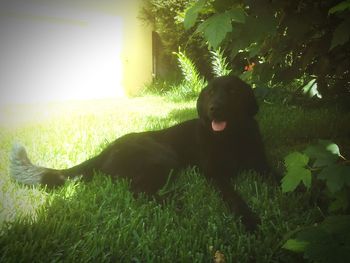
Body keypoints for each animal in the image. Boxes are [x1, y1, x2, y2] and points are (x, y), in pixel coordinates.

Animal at [10, 76, 268, 231]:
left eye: (233, 91)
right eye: (209, 93)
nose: (215, 108)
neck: (231, 138)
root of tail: (106, 150)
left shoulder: (261, 164)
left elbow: (274, 176)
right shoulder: (215, 175)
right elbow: (234, 197)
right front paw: (250, 220)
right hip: (163, 158)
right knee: (136, 190)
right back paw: (173, 200)